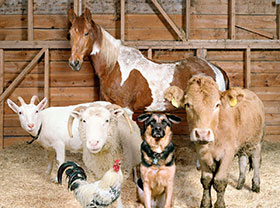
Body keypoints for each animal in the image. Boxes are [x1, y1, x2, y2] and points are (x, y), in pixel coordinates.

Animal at [68, 8, 230, 114]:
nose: (74, 63)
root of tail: (216, 69)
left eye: (86, 33)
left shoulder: (125, 109)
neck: (114, 66)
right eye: (70, 34)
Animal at [165, 76, 266, 208]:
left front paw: (220, 204)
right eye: (187, 104)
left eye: (217, 105)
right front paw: (205, 203)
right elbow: (206, 180)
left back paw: (256, 185)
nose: (202, 133)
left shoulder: (228, 153)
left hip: (257, 141)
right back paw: (240, 184)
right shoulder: (200, 152)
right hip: (242, 144)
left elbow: (219, 181)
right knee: (243, 160)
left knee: (256, 161)